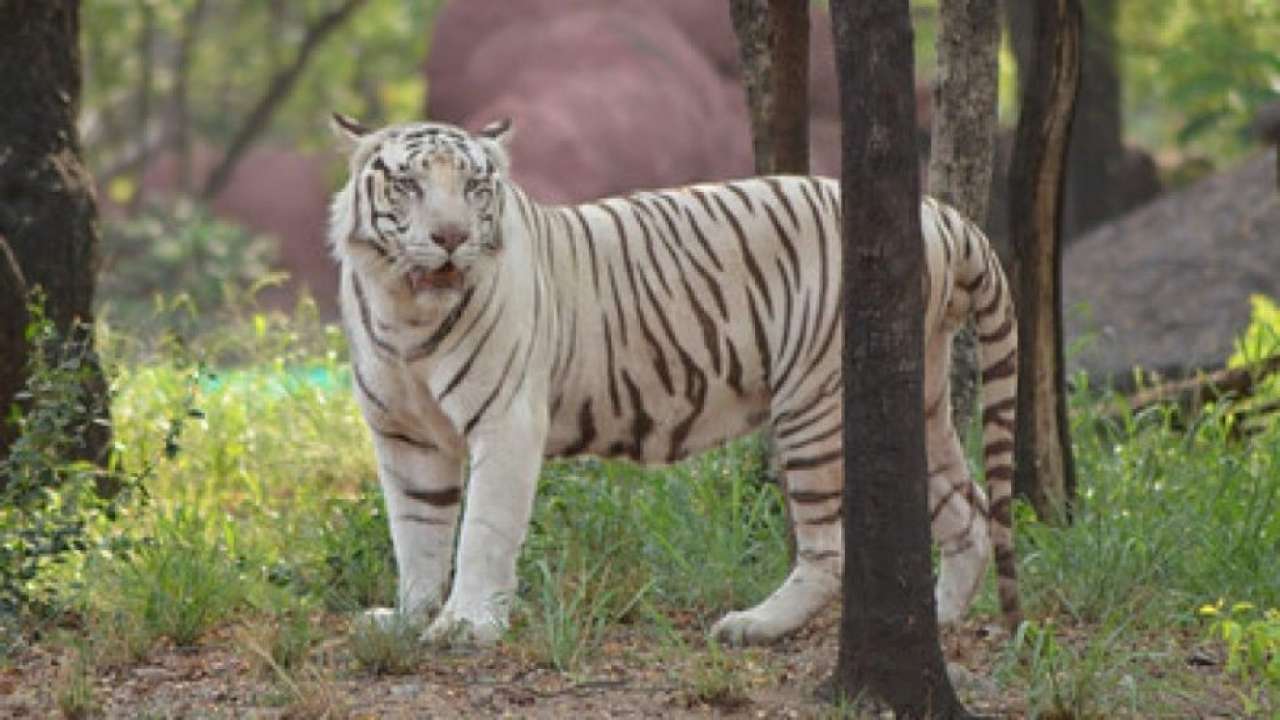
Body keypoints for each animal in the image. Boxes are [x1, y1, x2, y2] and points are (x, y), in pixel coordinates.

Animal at [330, 113, 1018, 645]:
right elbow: (417, 531)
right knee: (970, 511)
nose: (451, 237)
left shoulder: (506, 423)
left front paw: (466, 626)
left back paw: (756, 624)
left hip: (817, 402)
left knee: (830, 548)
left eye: (475, 186)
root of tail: (934, 212)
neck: (405, 313)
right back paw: (938, 622)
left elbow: (482, 531)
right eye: (409, 183)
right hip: (916, 397)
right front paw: (409, 617)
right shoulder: (405, 435)